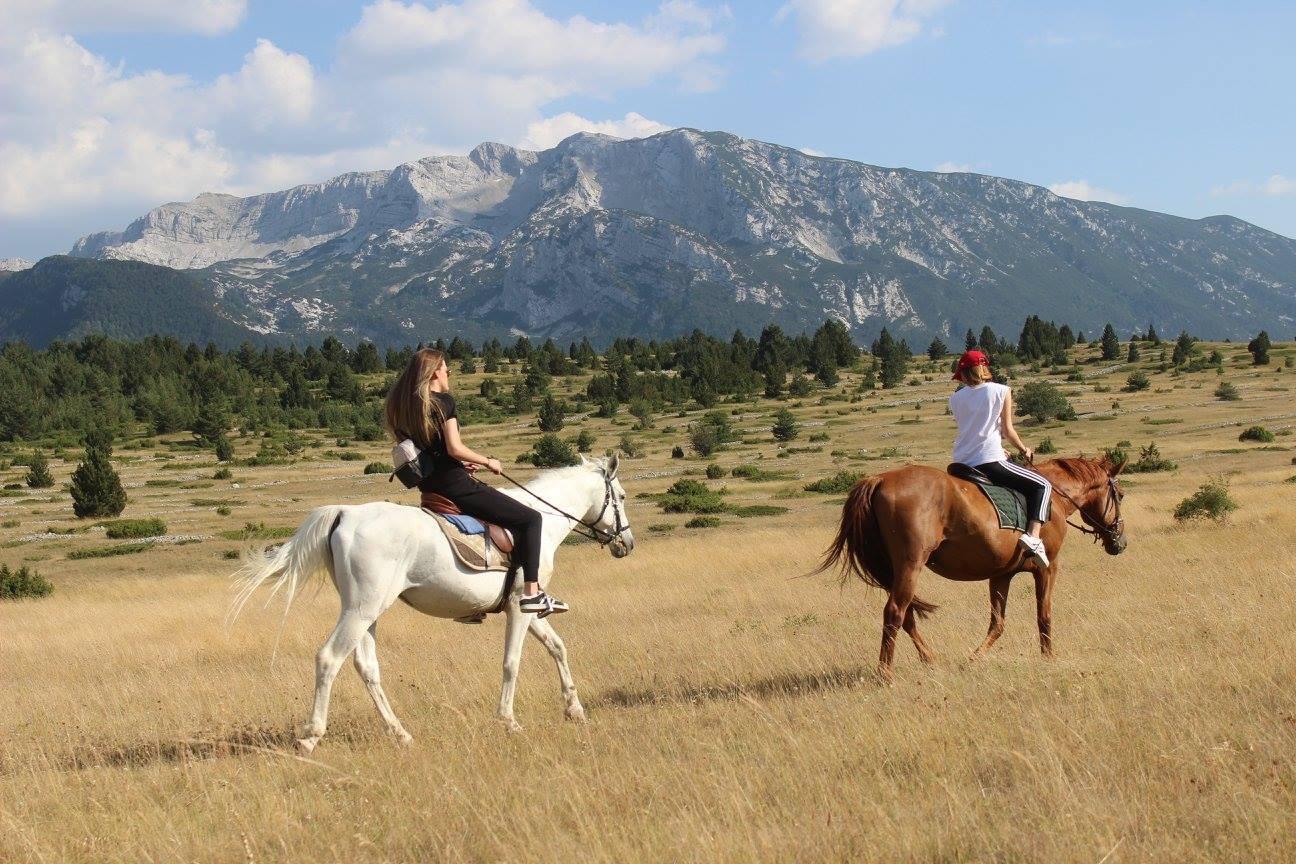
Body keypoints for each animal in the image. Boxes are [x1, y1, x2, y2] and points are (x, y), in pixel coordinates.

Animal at [235, 455, 640, 751]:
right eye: (620, 496)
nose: (627, 543)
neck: (543, 522)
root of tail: (346, 513)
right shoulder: (518, 608)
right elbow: (512, 662)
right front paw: (508, 721)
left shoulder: (530, 607)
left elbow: (558, 647)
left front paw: (574, 710)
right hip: (362, 609)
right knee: (329, 659)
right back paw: (310, 736)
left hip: (366, 611)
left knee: (366, 666)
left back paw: (400, 733)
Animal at [819, 455, 1124, 678]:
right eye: (1120, 495)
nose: (1119, 542)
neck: (1054, 500)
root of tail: (879, 479)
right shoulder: (1048, 568)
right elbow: (1044, 616)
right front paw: (1048, 658)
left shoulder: (1002, 575)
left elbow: (997, 623)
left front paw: (973, 658)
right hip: (910, 565)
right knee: (895, 612)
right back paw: (886, 675)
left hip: (893, 570)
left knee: (906, 616)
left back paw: (930, 659)